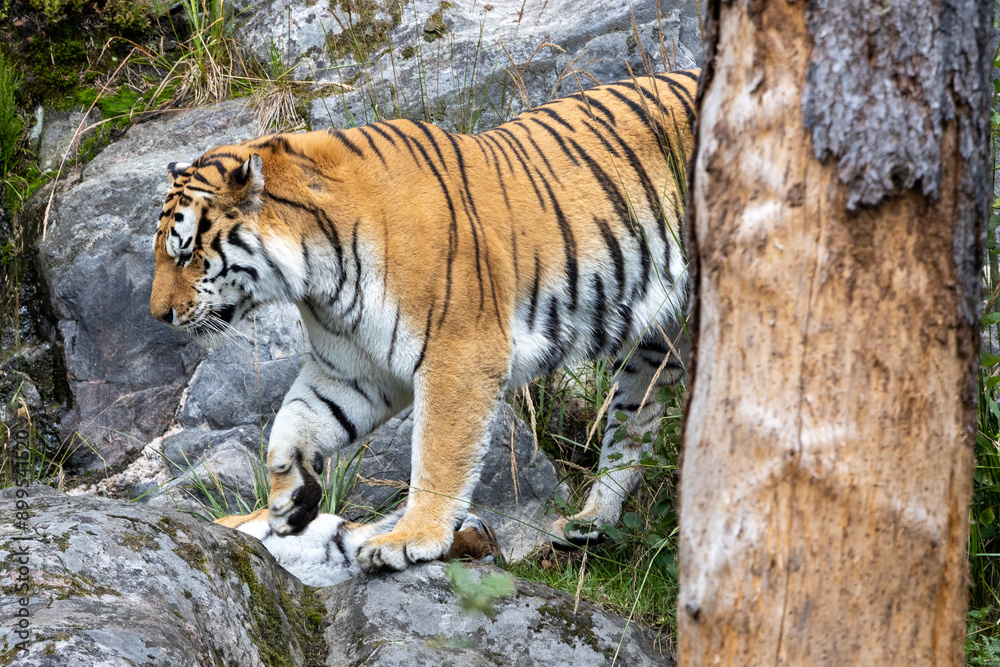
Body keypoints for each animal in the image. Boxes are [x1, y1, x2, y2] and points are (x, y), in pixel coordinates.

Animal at [151, 69, 698, 572]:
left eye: (185, 253)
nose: (159, 316)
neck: (318, 273)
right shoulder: (353, 369)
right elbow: (294, 422)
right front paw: (289, 498)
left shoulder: (460, 353)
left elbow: (438, 454)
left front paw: (411, 538)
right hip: (654, 345)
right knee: (635, 422)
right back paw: (592, 520)